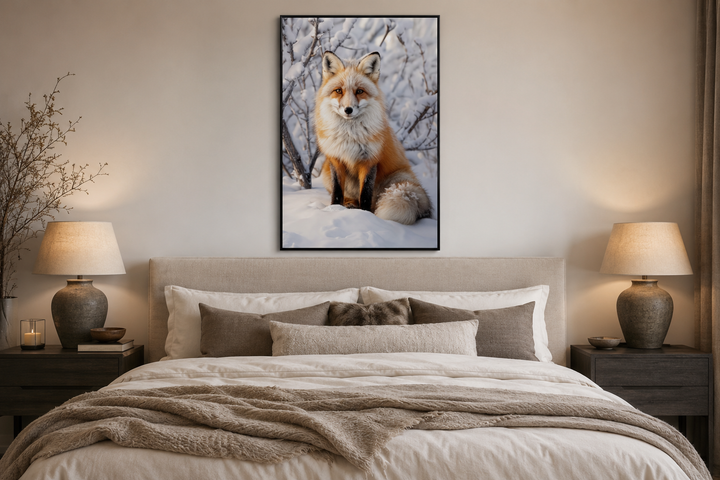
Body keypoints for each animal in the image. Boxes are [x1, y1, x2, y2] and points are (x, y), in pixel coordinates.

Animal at [315, 50, 432, 225]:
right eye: (338, 90)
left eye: (359, 91)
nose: (348, 109)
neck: (349, 135)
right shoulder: (336, 159)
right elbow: (337, 192)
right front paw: (334, 210)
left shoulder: (369, 160)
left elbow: (365, 194)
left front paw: (365, 216)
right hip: (325, 172)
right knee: (350, 197)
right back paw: (349, 204)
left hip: (396, 181)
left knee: (375, 200)